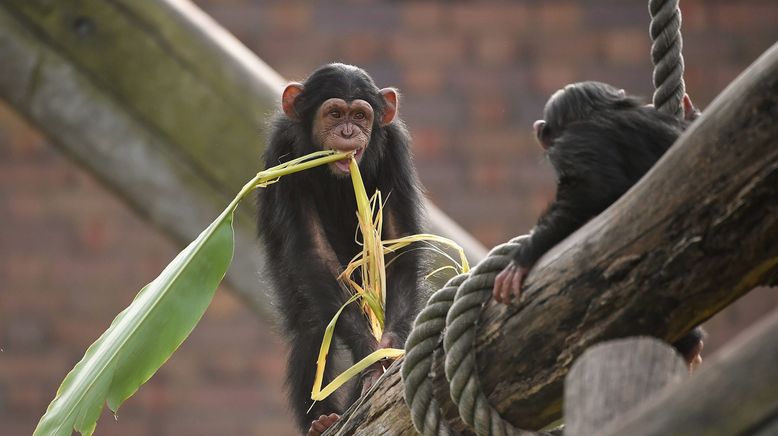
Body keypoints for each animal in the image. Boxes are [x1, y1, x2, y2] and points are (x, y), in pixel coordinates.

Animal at [256, 63, 424, 434]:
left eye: (360, 115)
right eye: (334, 114)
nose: (348, 131)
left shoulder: (396, 149)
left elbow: (399, 243)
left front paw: (388, 348)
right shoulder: (283, 151)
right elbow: (316, 252)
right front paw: (371, 356)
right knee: (312, 326)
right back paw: (321, 420)